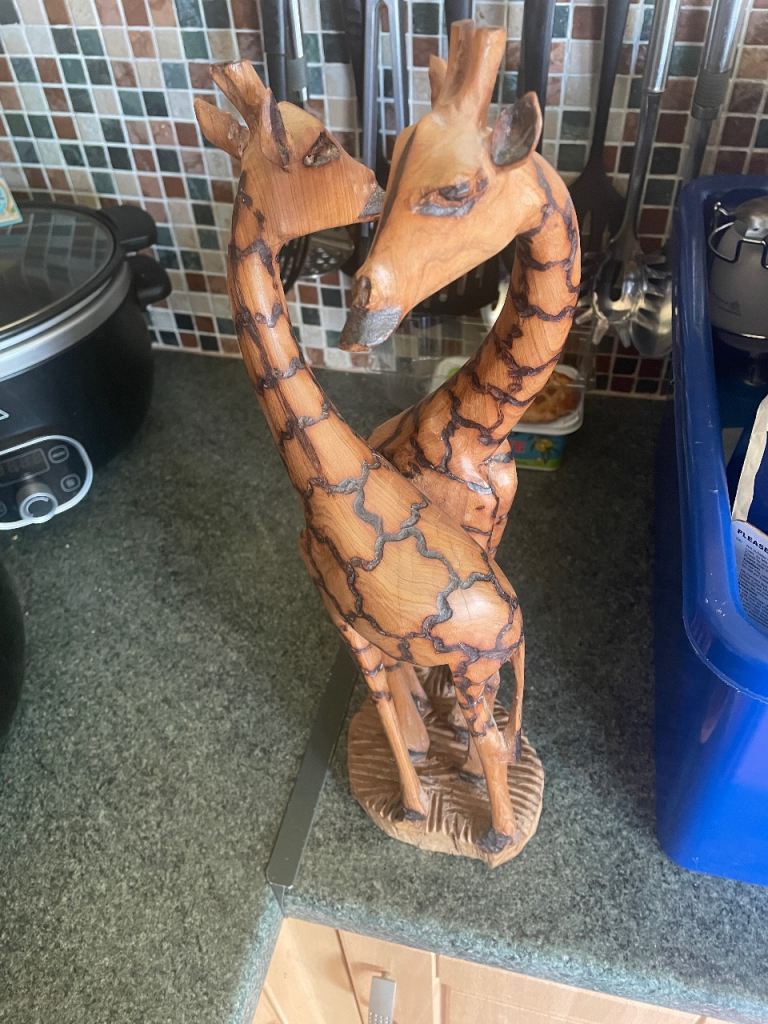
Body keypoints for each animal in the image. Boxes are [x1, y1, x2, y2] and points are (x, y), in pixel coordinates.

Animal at [195, 60, 535, 853]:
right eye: (320, 148)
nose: (377, 189)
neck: (328, 485)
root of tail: (515, 622)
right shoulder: (359, 626)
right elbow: (391, 708)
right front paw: (414, 767)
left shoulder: (349, 622)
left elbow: (383, 703)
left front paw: (412, 805)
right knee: (494, 732)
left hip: (476, 668)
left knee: (490, 740)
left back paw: (495, 837)